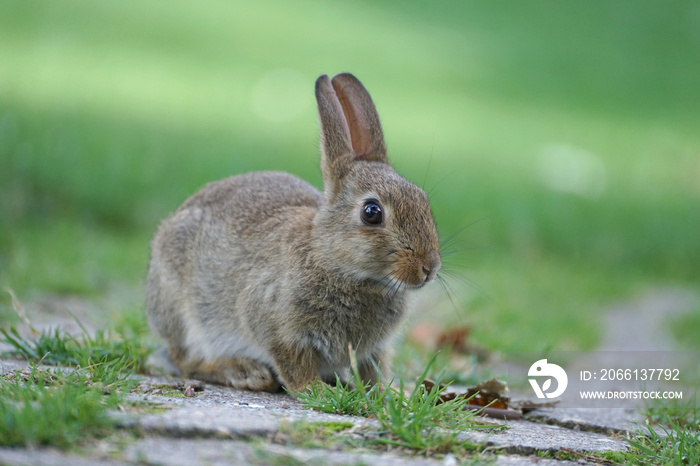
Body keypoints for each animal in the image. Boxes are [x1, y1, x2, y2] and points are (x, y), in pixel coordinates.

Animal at [147, 72, 440, 394]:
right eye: (372, 212)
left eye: (423, 200)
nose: (429, 268)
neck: (333, 261)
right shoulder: (277, 325)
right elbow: (294, 364)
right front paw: (317, 391)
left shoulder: (376, 349)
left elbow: (374, 370)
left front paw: (388, 393)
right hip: (182, 314)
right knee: (187, 361)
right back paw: (245, 372)